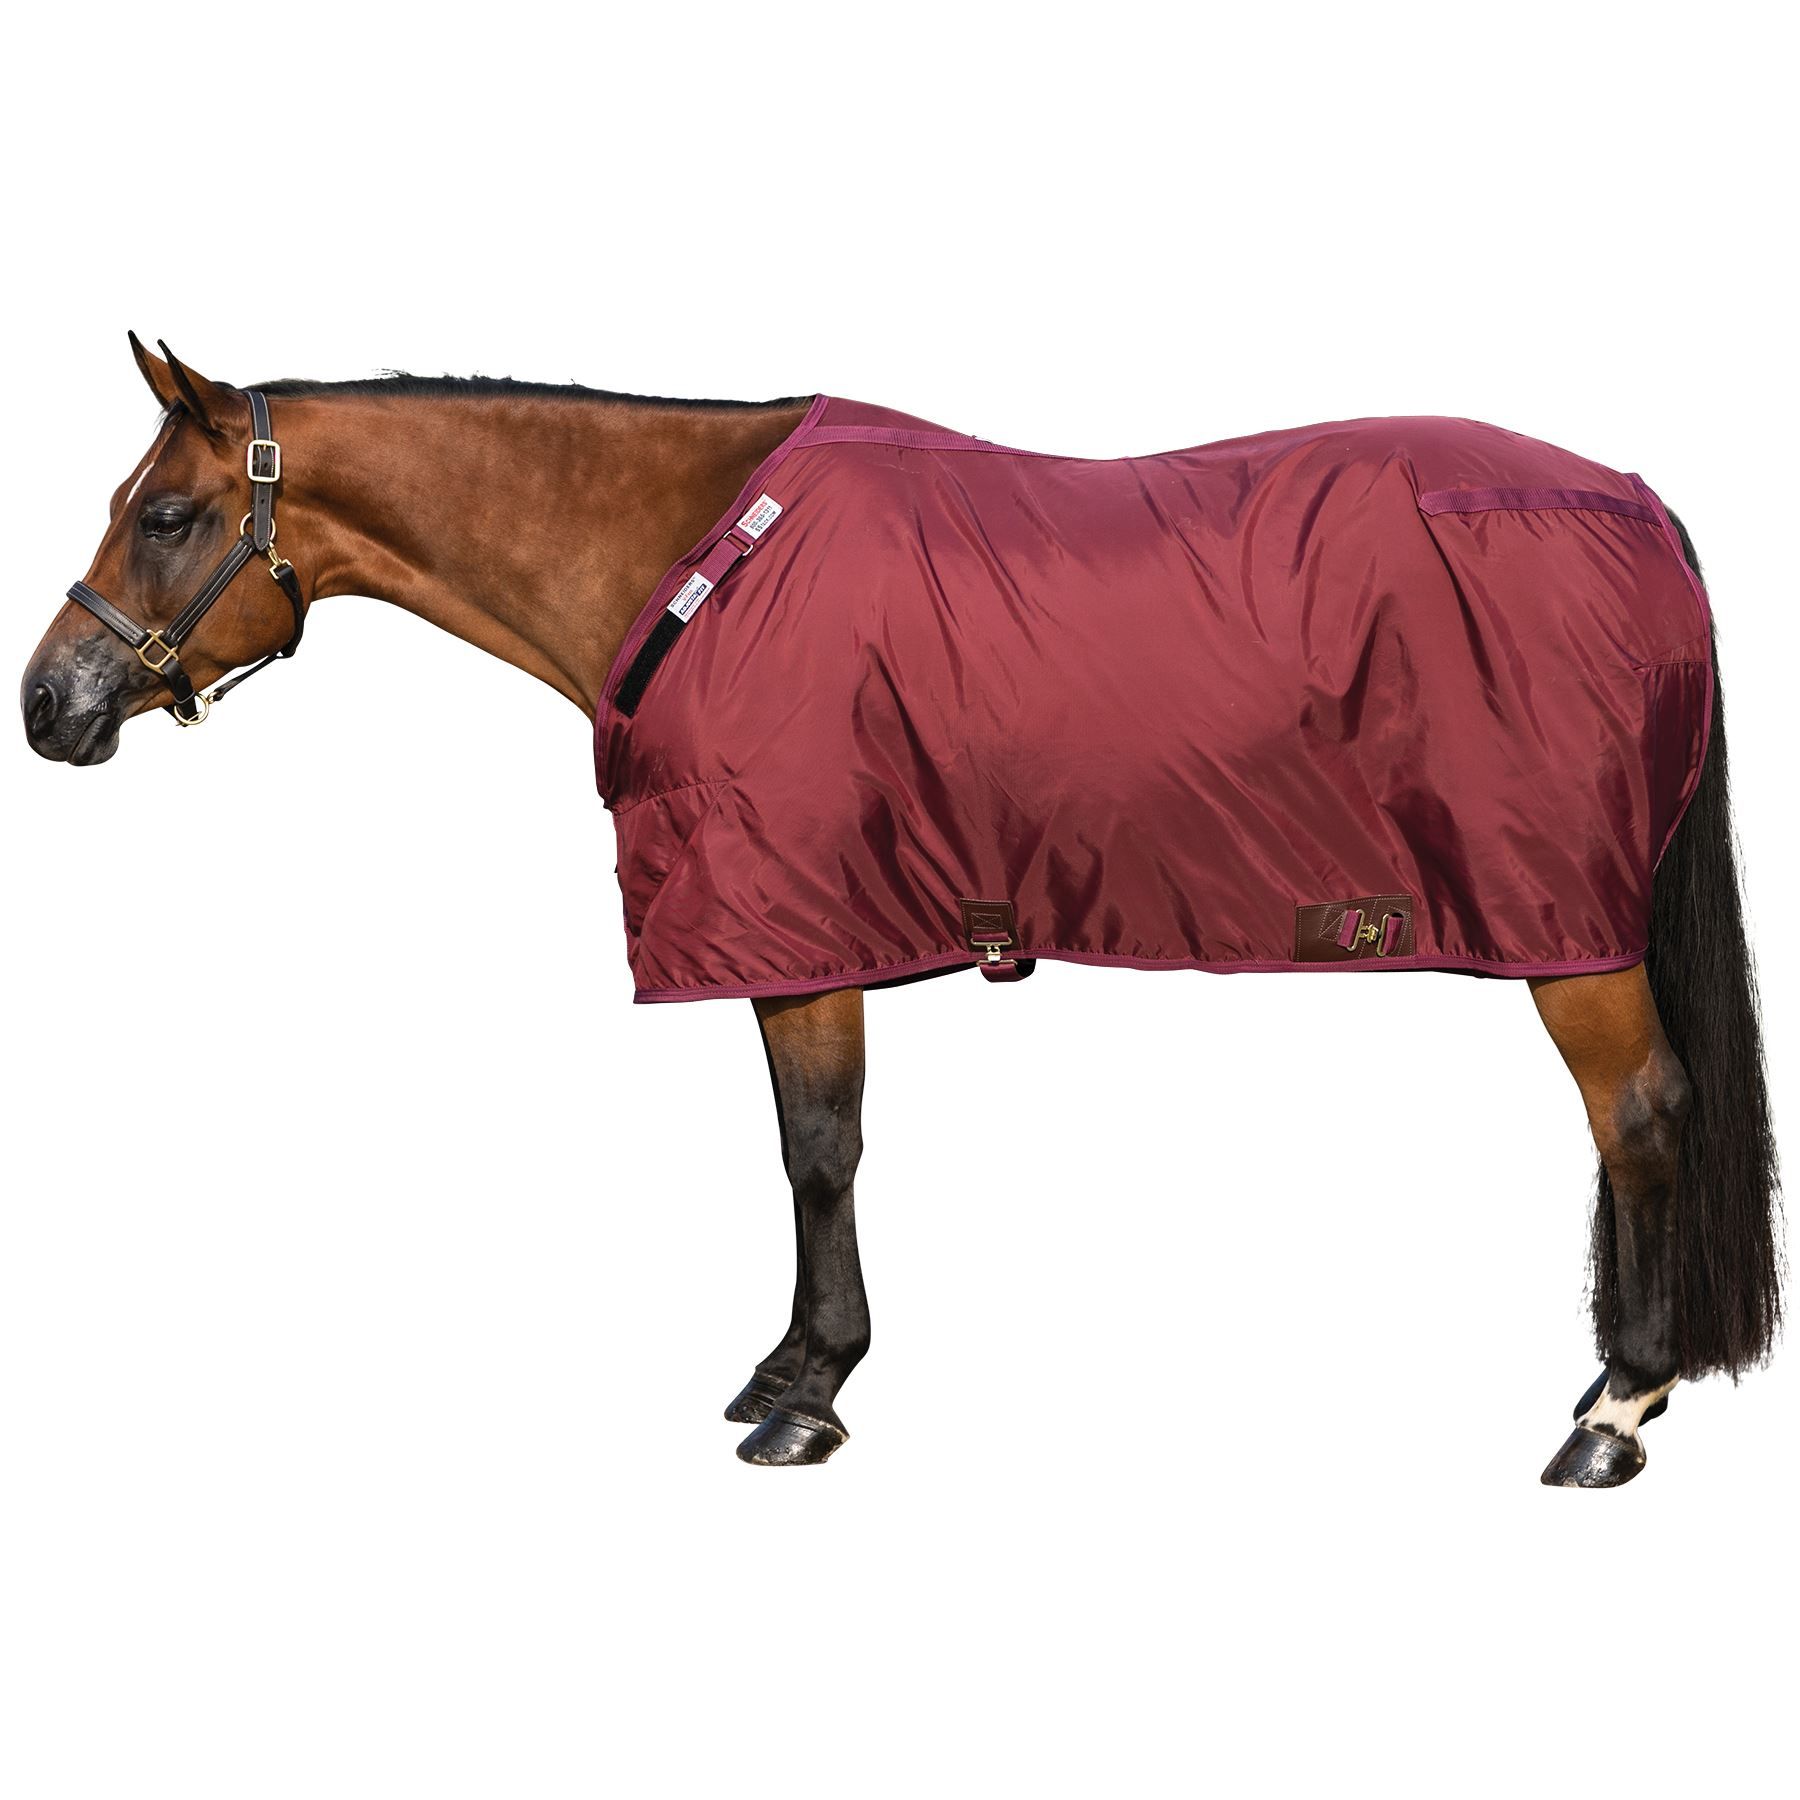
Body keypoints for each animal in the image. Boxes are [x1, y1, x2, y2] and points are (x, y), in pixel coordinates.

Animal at [22, 337, 1780, 1485]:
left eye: (165, 516)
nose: (48, 702)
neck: (696, 561)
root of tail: (1639, 504)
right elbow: (818, 1147)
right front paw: (798, 1369)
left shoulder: (802, 924)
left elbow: (818, 1149)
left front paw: (806, 1394)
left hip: (1569, 937)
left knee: (1640, 1113)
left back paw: (1613, 1414)